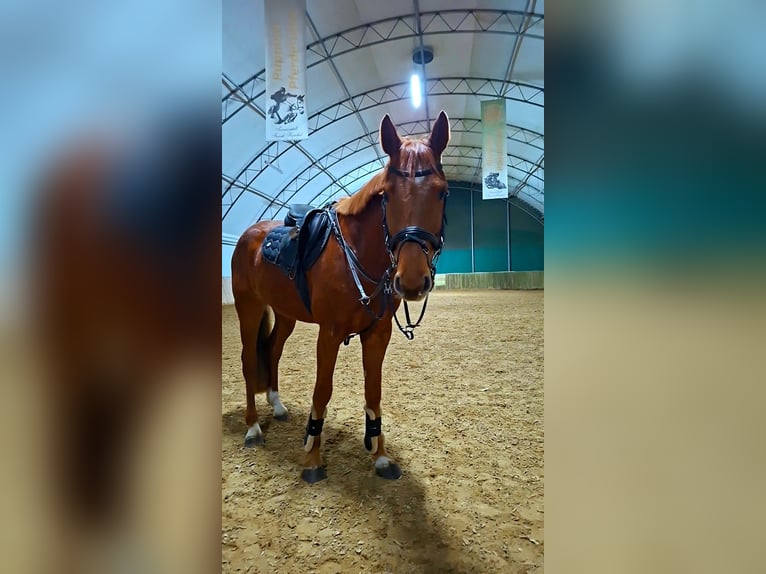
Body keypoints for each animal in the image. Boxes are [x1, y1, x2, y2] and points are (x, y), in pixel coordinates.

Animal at [231, 111, 451, 483]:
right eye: (387, 195)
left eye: (442, 193)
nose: (410, 281)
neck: (359, 252)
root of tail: (249, 234)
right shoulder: (330, 333)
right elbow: (323, 389)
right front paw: (311, 458)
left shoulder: (378, 333)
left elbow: (374, 391)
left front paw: (380, 456)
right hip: (248, 306)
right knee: (250, 359)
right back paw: (253, 429)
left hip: (285, 313)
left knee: (272, 350)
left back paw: (277, 406)